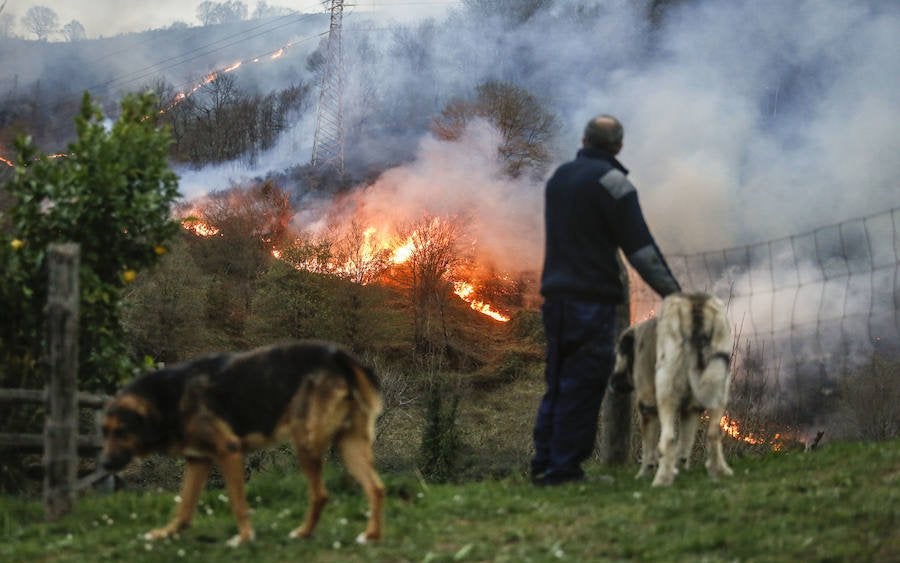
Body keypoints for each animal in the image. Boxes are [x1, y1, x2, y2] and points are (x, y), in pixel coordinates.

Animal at [100, 342, 384, 548]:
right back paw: (370, 536)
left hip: (306, 443)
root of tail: (337, 356)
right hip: (349, 445)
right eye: (104, 432)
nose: (103, 463)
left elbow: (238, 504)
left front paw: (244, 538)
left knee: (321, 494)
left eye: (121, 432)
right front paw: (165, 533)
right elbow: (184, 507)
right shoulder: (199, 460)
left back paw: (303, 533)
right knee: (376, 487)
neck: (168, 397)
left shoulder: (229, 451)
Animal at [616, 294, 736, 486]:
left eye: (618, 353)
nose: (612, 383)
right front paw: (681, 469)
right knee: (713, 433)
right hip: (718, 384)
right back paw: (719, 471)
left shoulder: (647, 405)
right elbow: (684, 446)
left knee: (668, 439)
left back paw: (662, 480)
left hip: (666, 390)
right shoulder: (690, 410)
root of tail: (695, 308)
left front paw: (644, 474)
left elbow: (649, 448)